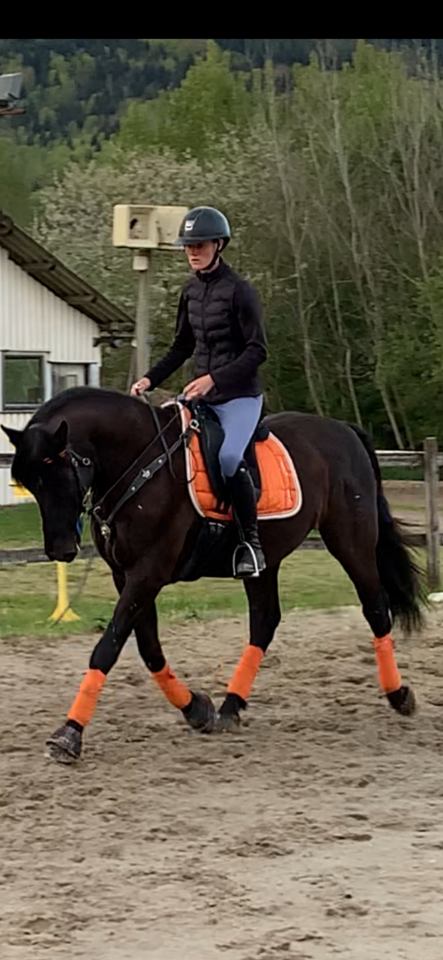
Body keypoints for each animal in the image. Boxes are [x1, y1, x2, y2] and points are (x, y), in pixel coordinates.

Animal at [2, 386, 423, 764]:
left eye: (57, 472)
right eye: (30, 483)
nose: (60, 550)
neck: (142, 463)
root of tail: (343, 430)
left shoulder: (148, 573)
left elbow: (108, 647)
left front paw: (69, 734)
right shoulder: (128, 576)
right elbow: (148, 649)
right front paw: (196, 708)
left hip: (351, 542)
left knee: (375, 608)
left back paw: (399, 695)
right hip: (265, 560)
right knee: (265, 621)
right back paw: (230, 707)